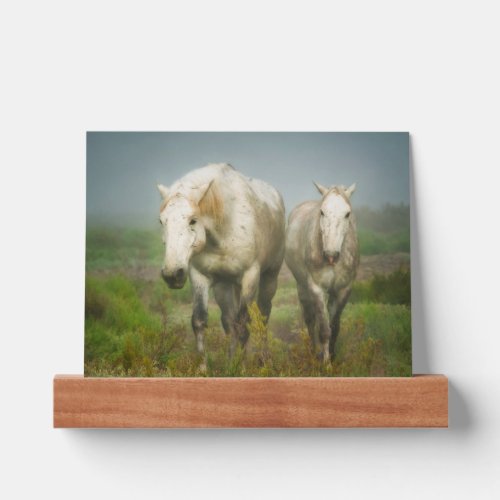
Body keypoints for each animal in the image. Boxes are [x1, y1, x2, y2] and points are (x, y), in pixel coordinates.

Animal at [157, 163, 286, 360]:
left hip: (270, 277)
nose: (172, 274)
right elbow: (199, 321)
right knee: (229, 321)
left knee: (263, 316)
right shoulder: (199, 276)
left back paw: (264, 359)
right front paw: (210, 366)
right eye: (162, 222)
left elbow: (244, 324)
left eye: (193, 220)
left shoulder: (250, 276)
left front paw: (240, 365)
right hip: (223, 286)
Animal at [286, 182, 360, 362]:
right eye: (322, 212)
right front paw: (326, 363)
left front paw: (332, 356)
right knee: (310, 319)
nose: (331, 255)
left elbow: (334, 328)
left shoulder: (343, 290)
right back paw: (313, 352)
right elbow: (324, 330)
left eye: (347, 213)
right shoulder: (316, 288)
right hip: (302, 287)